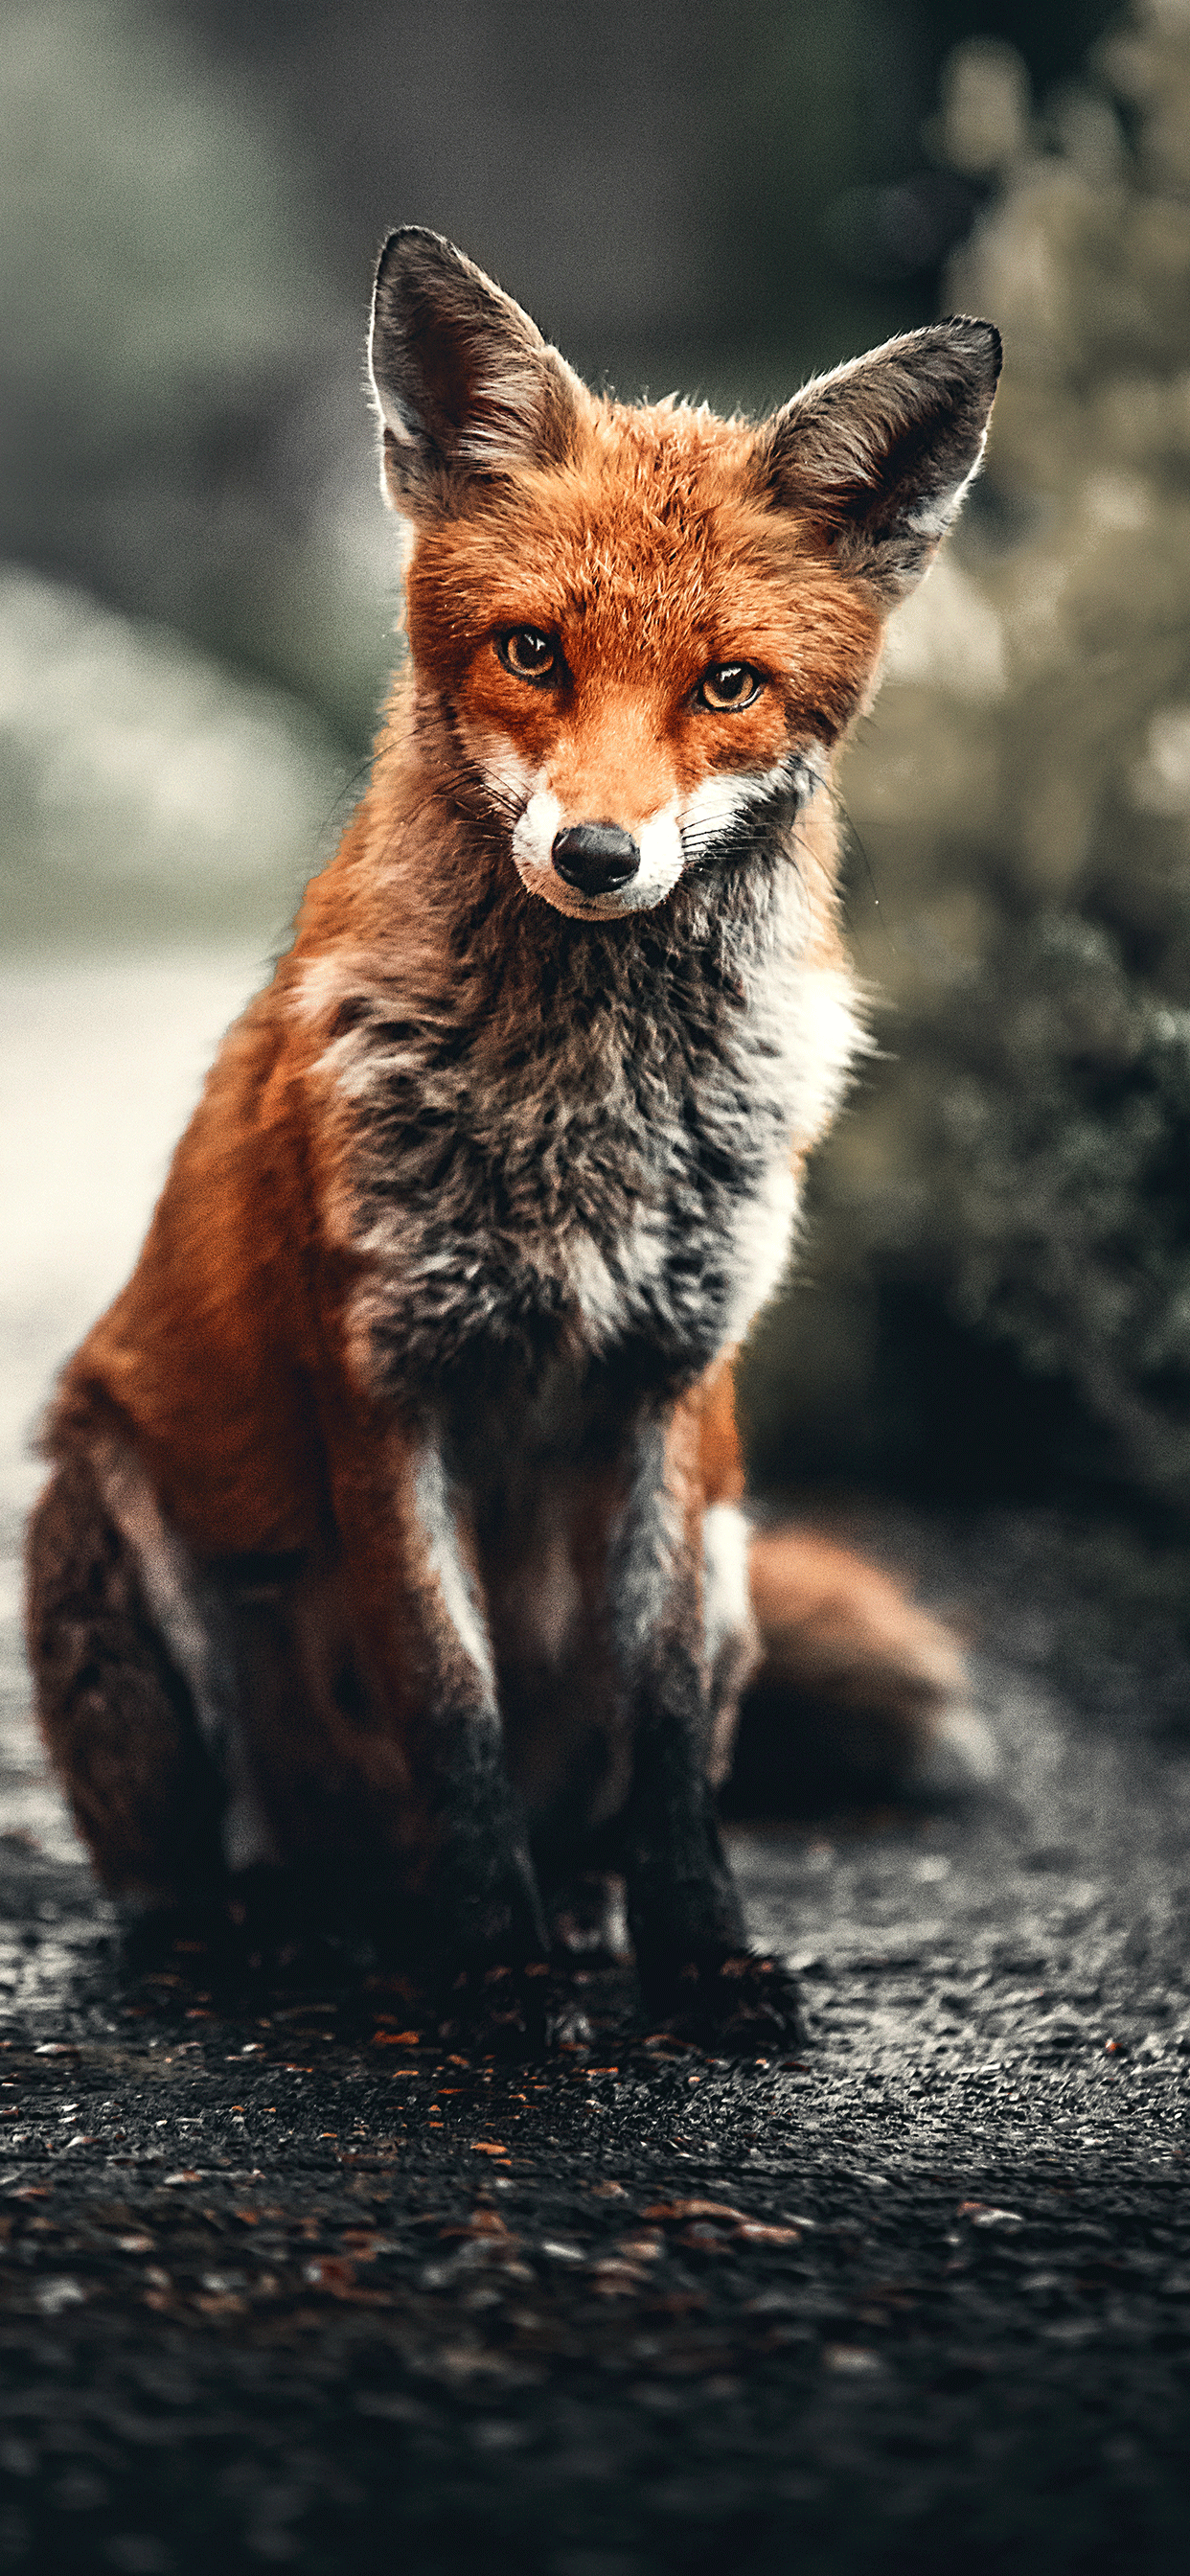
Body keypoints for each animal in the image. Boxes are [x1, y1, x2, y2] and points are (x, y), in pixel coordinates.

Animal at [23, 230, 999, 2051]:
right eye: (533, 652)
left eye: (727, 684)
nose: (599, 856)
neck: (584, 1114)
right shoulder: (384, 1379)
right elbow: (449, 1700)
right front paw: (494, 1973)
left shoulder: (675, 1389)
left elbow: (668, 1734)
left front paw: (698, 1956)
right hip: (111, 1521)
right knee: (198, 1875)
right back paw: (284, 1935)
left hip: (738, 1548)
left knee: (600, 1800)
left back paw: (571, 1915)